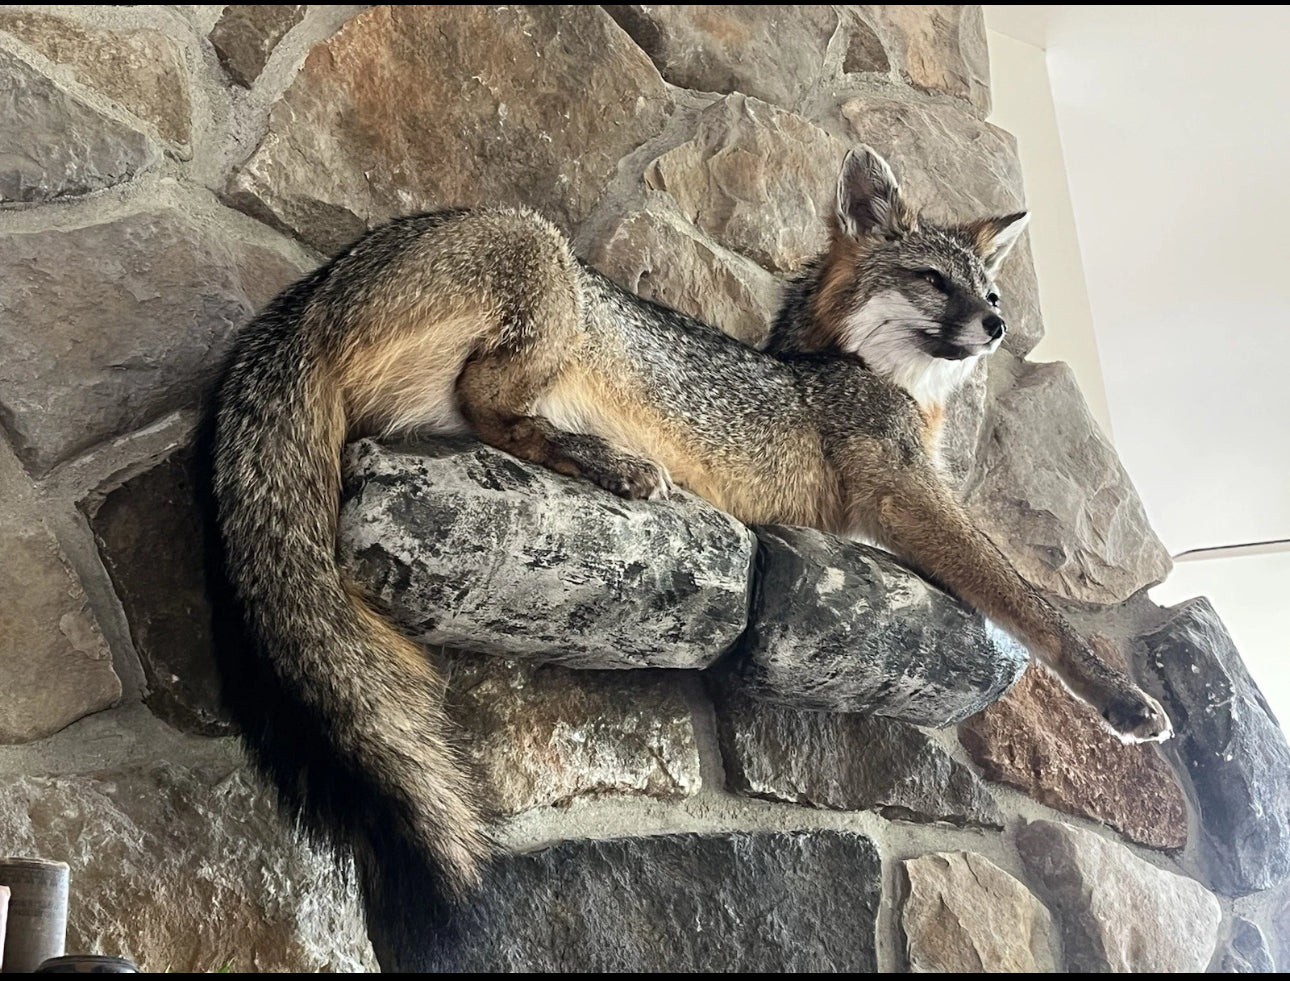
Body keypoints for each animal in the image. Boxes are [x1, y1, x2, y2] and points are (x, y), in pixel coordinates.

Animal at [205, 145, 1171, 929]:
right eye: (937, 281)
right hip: (544, 262)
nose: (1000, 326)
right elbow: (1026, 596)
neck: (855, 369)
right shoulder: (902, 492)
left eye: (992, 291)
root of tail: (308, 292)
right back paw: (613, 463)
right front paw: (1119, 697)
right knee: (488, 404)